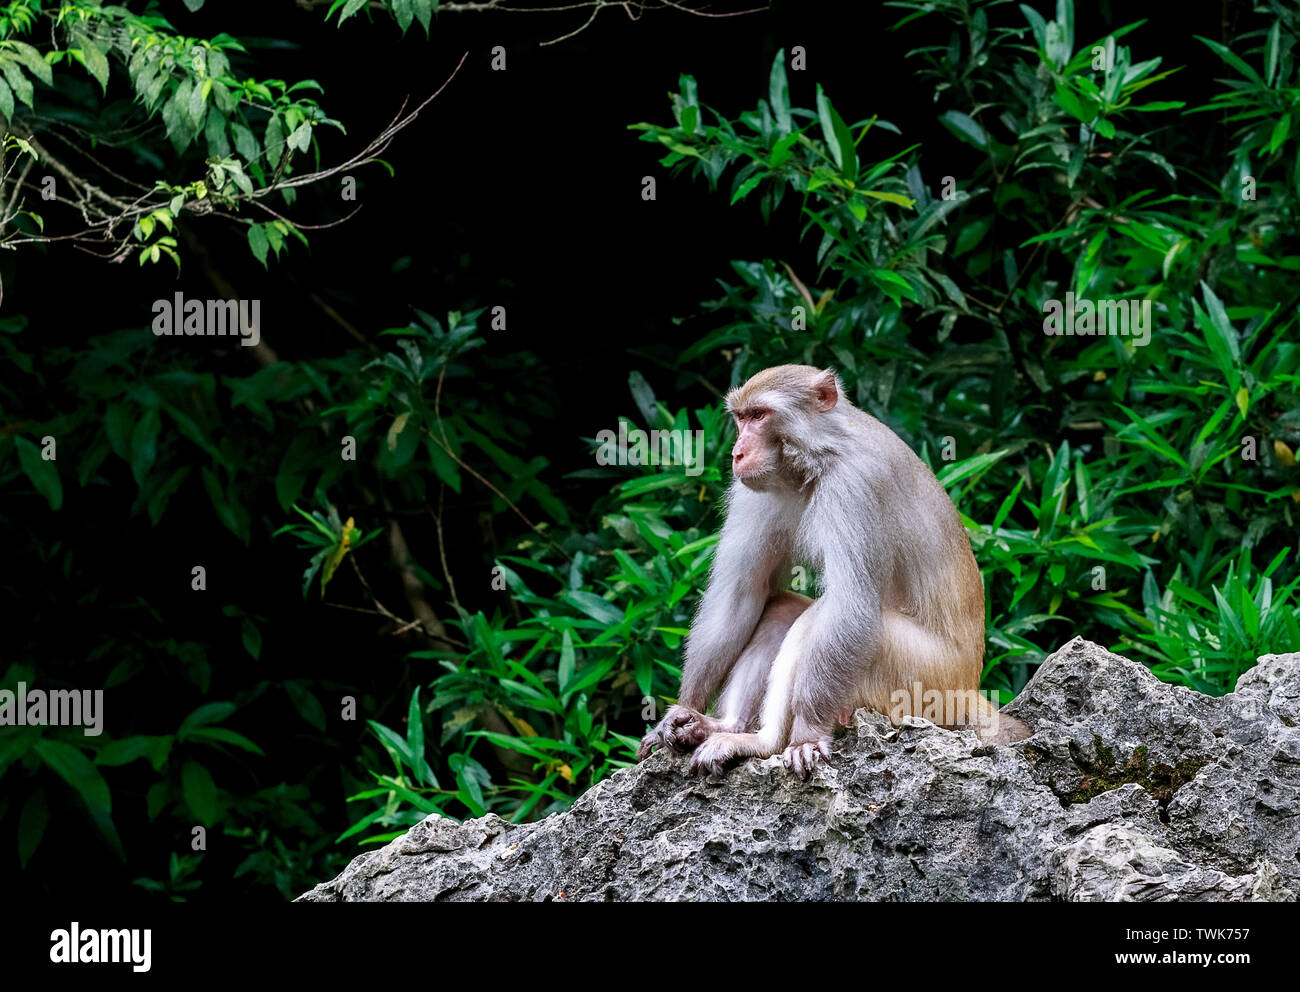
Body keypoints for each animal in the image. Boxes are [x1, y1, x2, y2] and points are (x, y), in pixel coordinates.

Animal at [636, 364, 1029, 779]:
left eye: (759, 415)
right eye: (741, 418)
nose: (737, 453)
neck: (819, 456)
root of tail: (969, 687)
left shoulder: (855, 485)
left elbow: (851, 605)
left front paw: (807, 735)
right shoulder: (756, 488)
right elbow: (741, 593)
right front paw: (682, 711)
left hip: (925, 683)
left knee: (825, 616)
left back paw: (764, 742)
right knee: (784, 609)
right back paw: (725, 727)